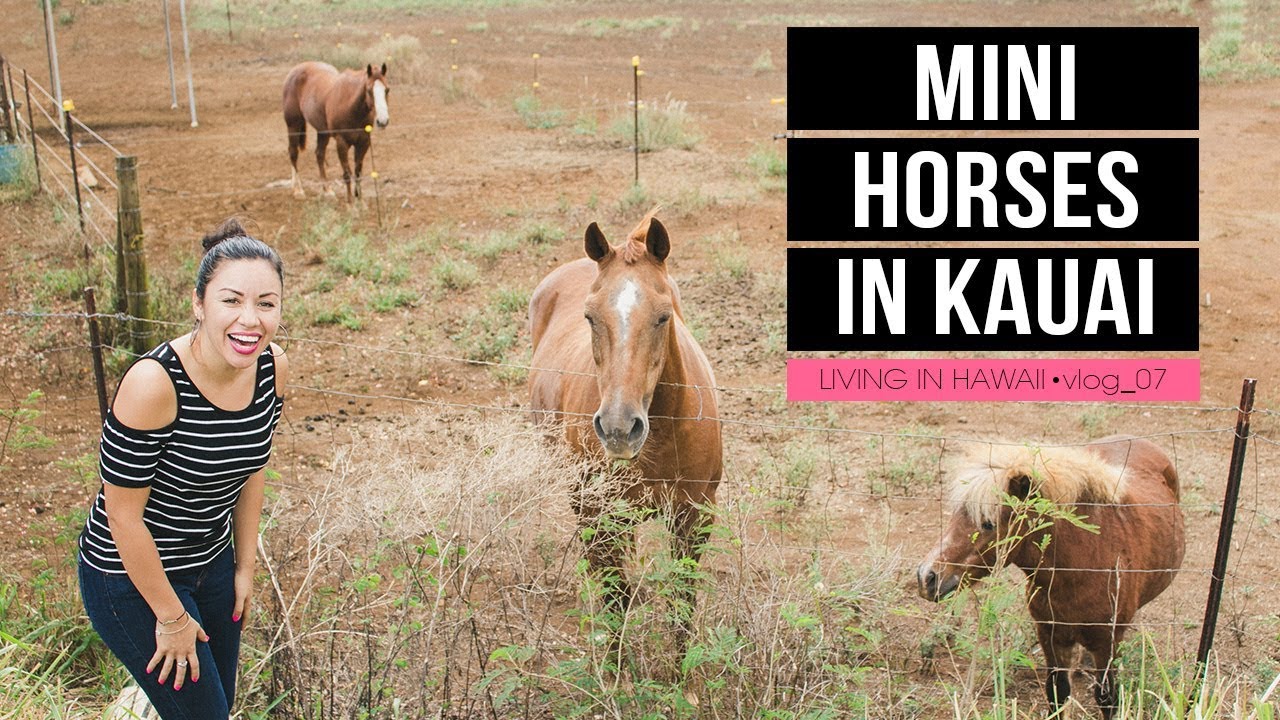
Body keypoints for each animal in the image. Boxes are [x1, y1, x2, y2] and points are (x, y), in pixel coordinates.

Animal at [282, 61, 390, 202]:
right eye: (369, 90)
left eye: (387, 90)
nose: (383, 121)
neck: (351, 107)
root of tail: (295, 70)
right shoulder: (342, 143)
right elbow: (347, 174)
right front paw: (351, 204)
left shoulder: (363, 142)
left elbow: (358, 172)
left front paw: (360, 201)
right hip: (293, 125)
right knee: (293, 153)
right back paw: (298, 190)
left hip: (322, 132)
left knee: (319, 154)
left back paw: (327, 191)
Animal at [528, 211, 723, 647]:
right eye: (589, 317)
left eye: (664, 316)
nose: (619, 428)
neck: (663, 439)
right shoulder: (603, 518)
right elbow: (616, 599)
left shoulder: (694, 519)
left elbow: (682, 604)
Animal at [917, 435, 1185, 719]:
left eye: (988, 524)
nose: (927, 577)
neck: (1086, 563)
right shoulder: (1050, 636)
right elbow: (1057, 693)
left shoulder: (1106, 644)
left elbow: (1107, 699)